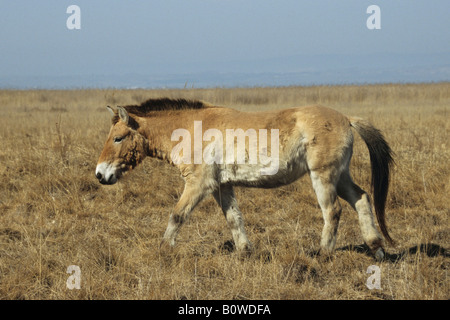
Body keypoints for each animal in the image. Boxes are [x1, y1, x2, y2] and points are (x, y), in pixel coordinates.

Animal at [96, 97, 394, 260]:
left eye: (118, 138)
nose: (100, 174)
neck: (189, 129)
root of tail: (346, 118)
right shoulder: (222, 186)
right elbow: (234, 219)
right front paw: (244, 252)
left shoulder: (198, 184)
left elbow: (177, 215)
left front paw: (163, 250)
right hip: (340, 176)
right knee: (361, 199)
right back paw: (376, 248)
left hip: (324, 176)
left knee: (333, 211)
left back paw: (323, 253)